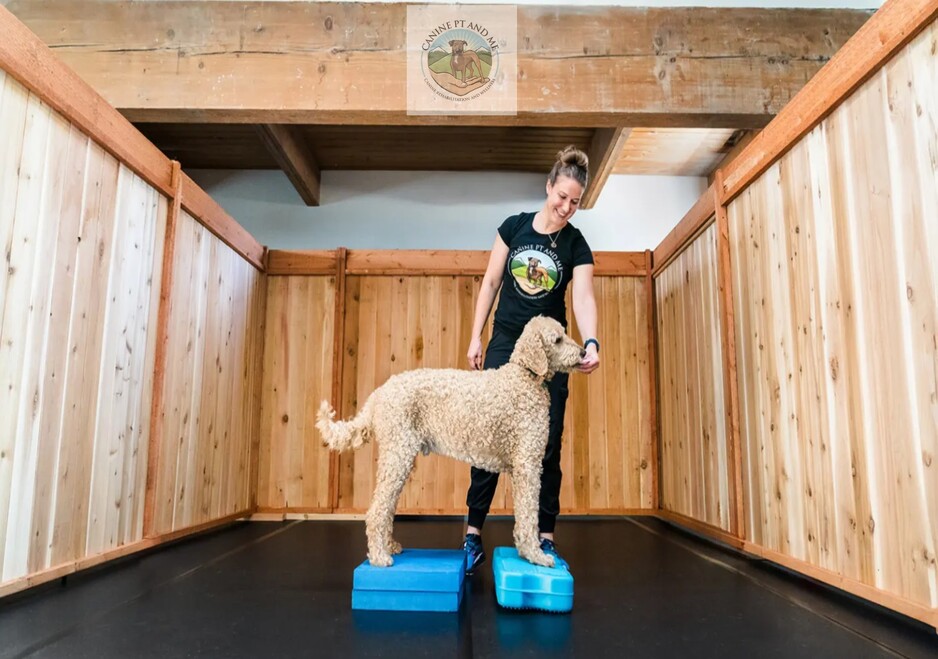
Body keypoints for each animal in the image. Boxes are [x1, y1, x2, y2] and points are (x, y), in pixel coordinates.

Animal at [318, 314, 580, 568]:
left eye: (565, 333)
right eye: (558, 339)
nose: (583, 353)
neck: (525, 378)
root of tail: (380, 393)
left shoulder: (522, 469)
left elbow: (524, 514)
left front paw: (528, 553)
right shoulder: (528, 465)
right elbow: (530, 514)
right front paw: (536, 555)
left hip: (398, 458)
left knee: (387, 507)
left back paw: (389, 546)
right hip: (398, 456)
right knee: (377, 510)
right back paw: (379, 557)